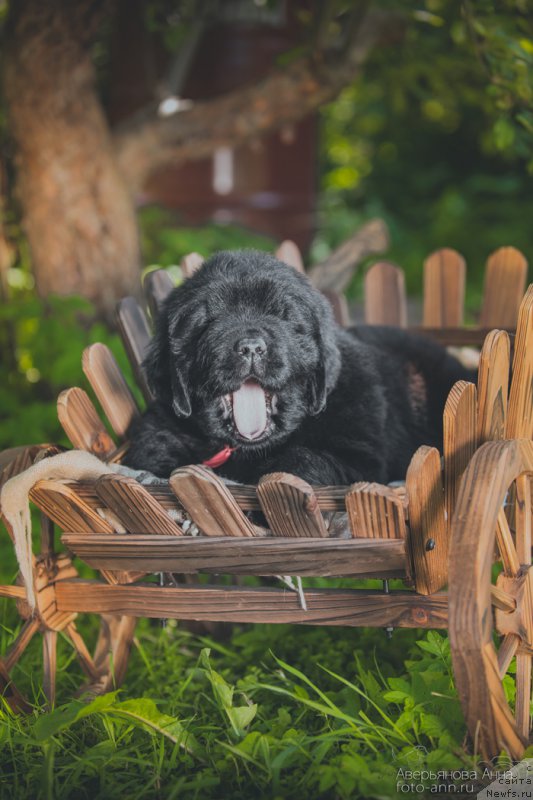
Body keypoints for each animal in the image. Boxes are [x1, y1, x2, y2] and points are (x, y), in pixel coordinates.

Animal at [125, 250, 474, 484]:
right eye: (208, 320)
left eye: (282, 316)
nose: (250, 346)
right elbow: (150, 444)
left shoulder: (360, 457)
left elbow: (302, 461)